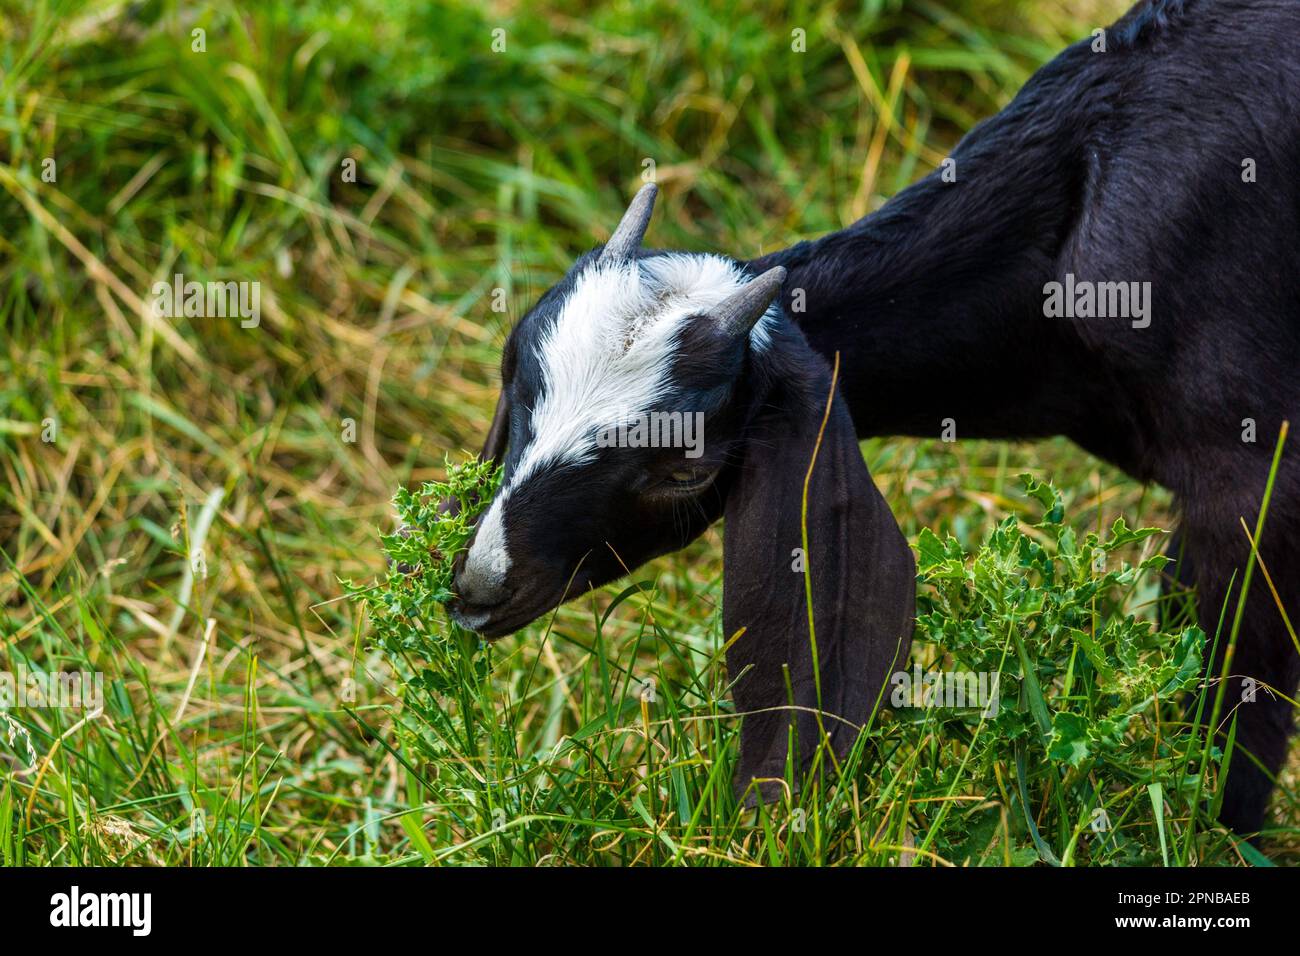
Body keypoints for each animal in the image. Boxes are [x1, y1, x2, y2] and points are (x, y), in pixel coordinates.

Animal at [452, 0, 1300, 832]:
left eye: (684, 468)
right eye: (512, 366)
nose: (481, 585)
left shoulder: (1253, 478)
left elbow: (1234, 711)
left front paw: (1220, 835)